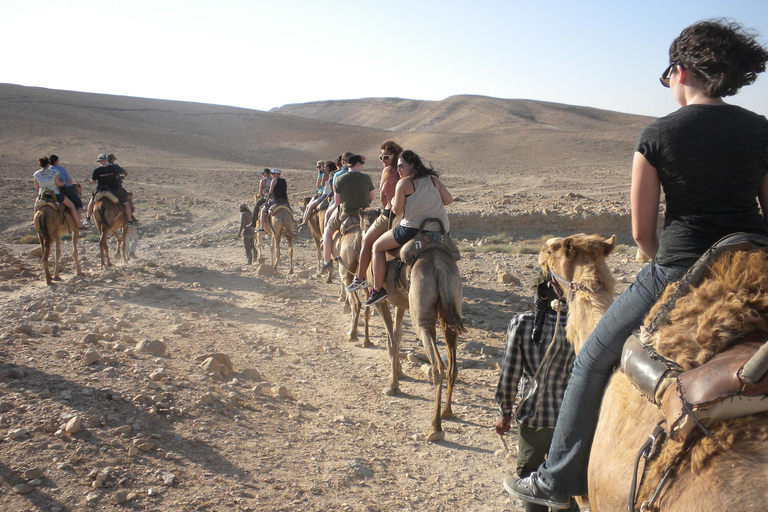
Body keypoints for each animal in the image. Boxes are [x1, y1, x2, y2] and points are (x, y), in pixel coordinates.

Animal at [362, 207, 468, 440]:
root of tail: (438, 266)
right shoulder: (402, 302)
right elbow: (397, 335)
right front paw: (399, 374)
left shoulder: (382, 301)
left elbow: (391, 342)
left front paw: (393, 386)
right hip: (450, 308)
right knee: (452, 364)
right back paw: (447, 412)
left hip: (422, 318)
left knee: (437, 365)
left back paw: (435, 428)